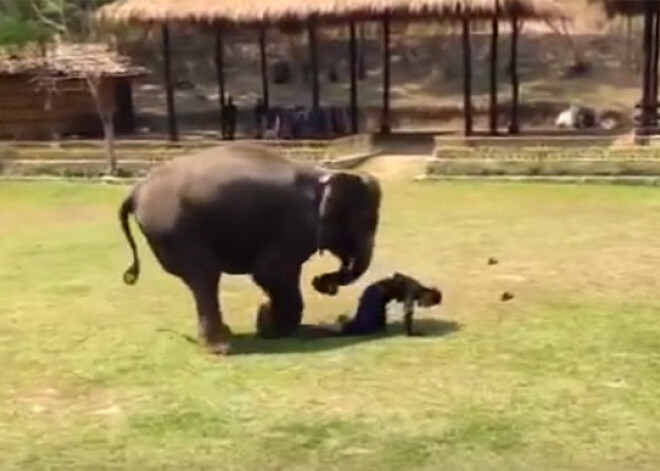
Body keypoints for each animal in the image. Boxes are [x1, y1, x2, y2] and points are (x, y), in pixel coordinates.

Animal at [118, 143, 382, 354]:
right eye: (367, 223)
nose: (322, 283)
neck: (325, 174)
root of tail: (135, 190)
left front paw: (266, 319)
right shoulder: (290, 226)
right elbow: (270, 274)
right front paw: (270, 327)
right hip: (176, 229)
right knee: (204, 277)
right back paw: (220, 348)